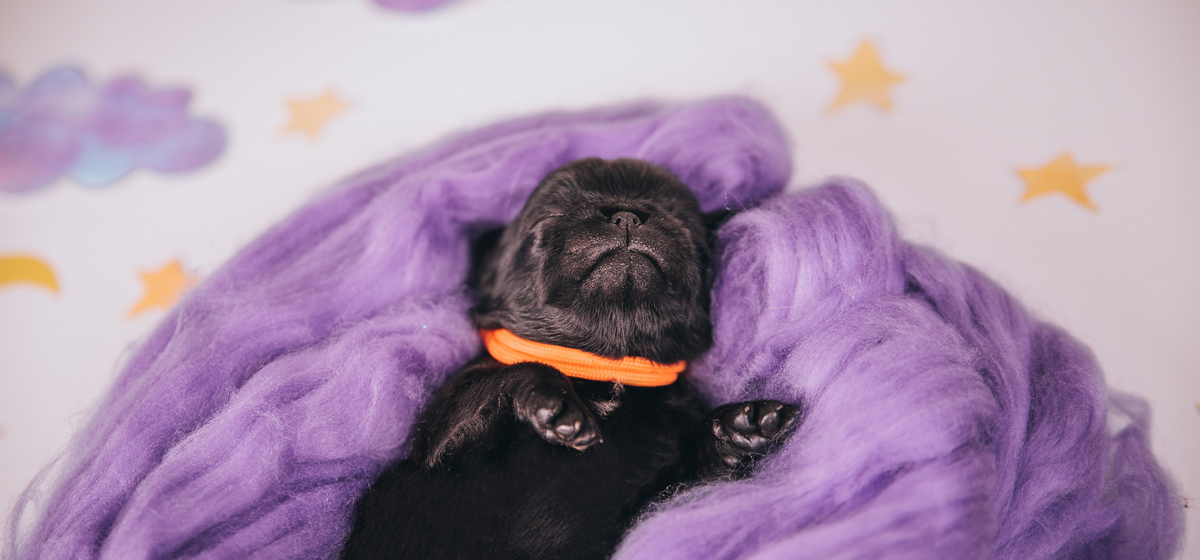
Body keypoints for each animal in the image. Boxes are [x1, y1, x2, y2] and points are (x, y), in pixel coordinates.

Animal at [341, 158, 799, 560]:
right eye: (548, 221)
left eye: (679, 220)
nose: (627, 215)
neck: (605, 366)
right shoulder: (439, 441)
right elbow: (515, 373)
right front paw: (555, 400)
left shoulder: (651, 501)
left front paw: (739, 426)